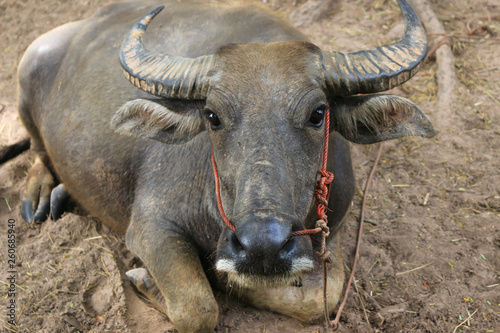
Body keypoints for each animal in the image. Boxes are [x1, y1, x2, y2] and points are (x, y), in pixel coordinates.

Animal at [18, 1, 434, 330]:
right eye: (213, 117)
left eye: (318, 114)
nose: (262, 246)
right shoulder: (151, 228)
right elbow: (197, 308)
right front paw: (148, 280)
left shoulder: (335, 229)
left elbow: (320, 301)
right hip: (26, 75)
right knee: (37, 148)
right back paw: (40, 194)